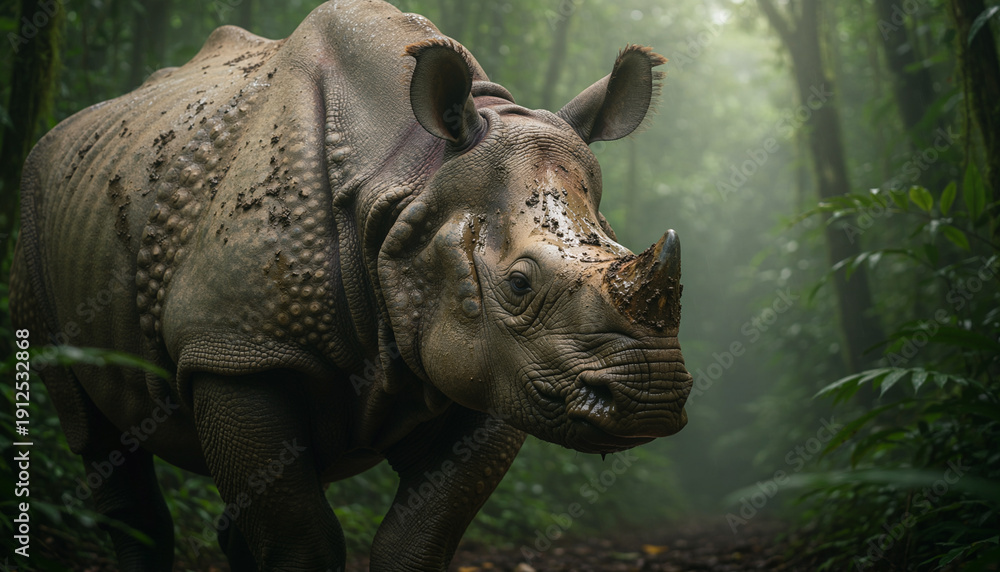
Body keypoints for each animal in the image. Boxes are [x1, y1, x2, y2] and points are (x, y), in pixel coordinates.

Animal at [9, 0, 692, 569]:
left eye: (619, 248)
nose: (652, 394)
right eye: (520, 284)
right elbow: (302, 541)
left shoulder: (496, 371)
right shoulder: (233, 348)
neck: (410, 181)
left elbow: (417, 540)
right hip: (38, 202)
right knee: (94, 433)